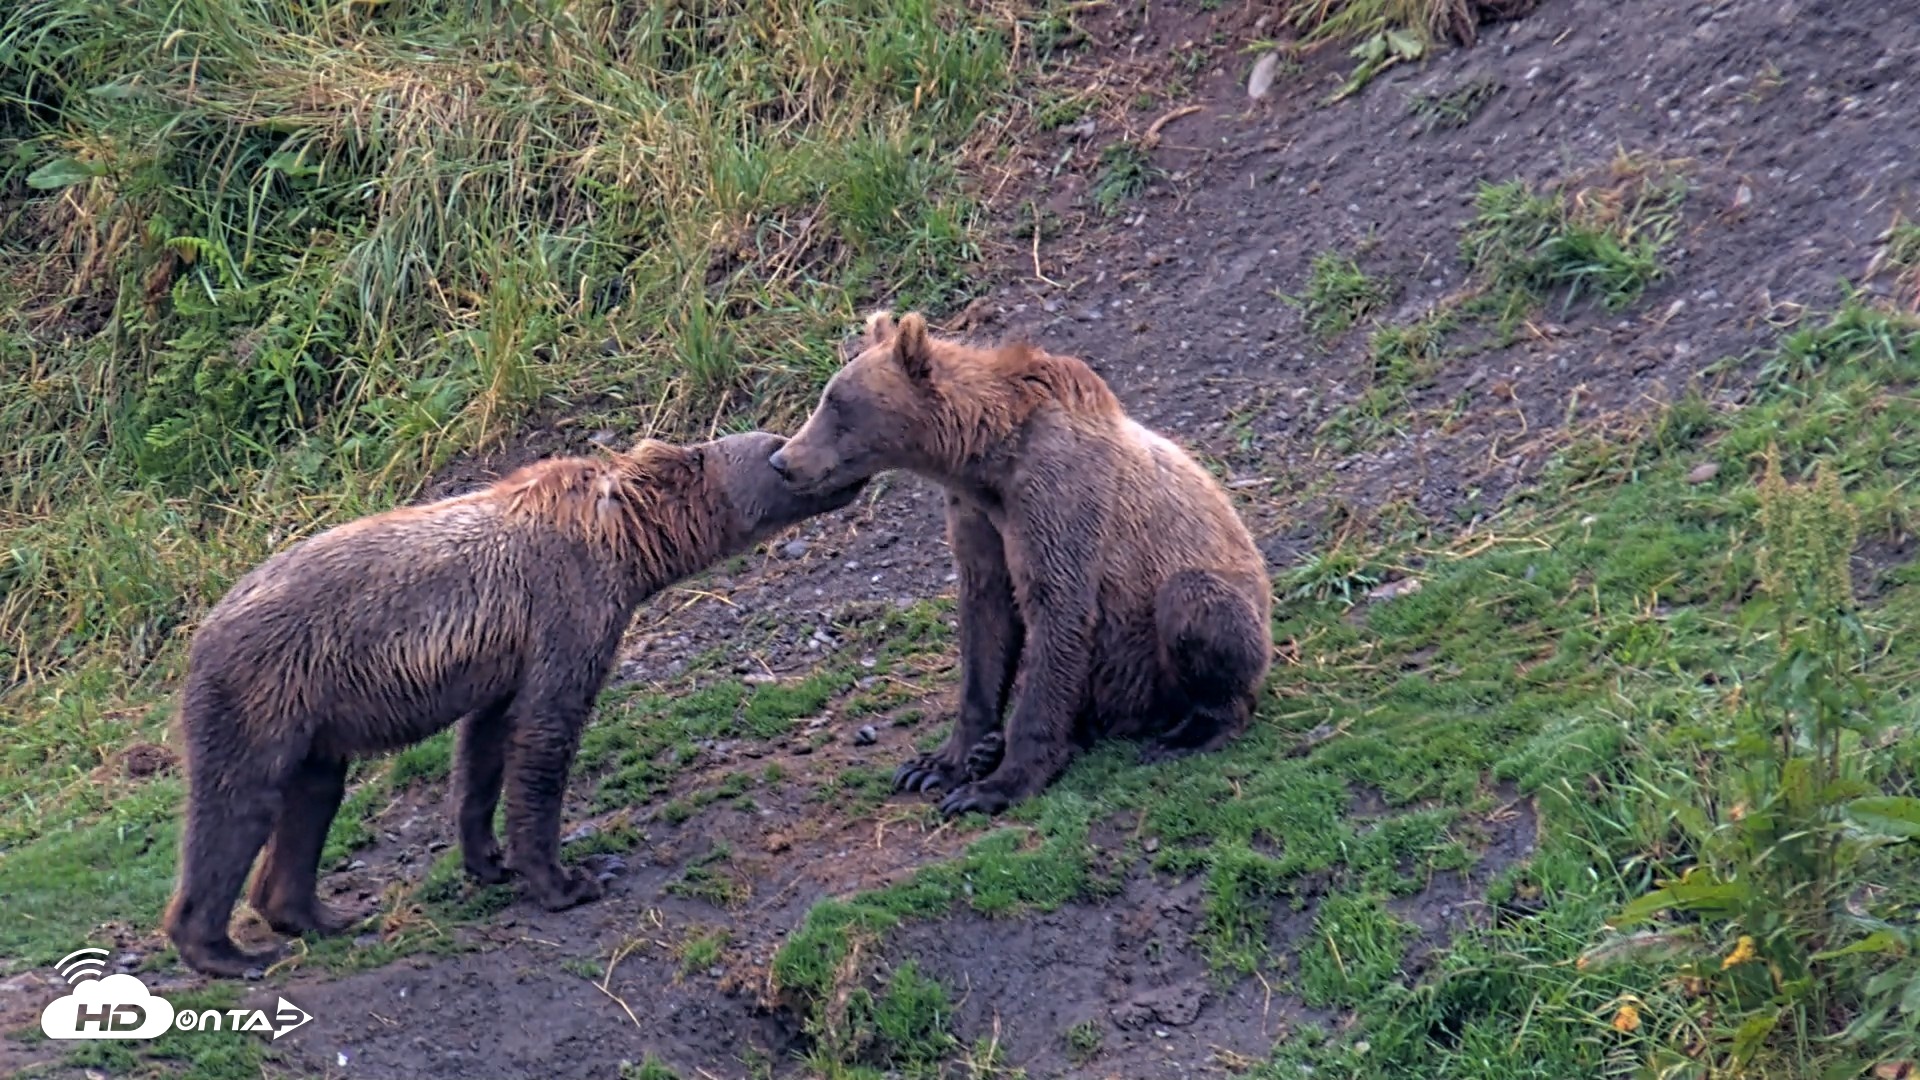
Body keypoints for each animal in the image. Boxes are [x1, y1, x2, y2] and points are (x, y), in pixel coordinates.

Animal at [163, 431, 866, 978]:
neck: (630, 537)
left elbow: (487, 746)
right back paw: (223, 951)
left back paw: (317, 914)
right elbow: (546, 732)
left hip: (314, 721)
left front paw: (488, 859)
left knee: (312, 798)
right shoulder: (567, 605)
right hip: (265, 688)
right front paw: (568, 879)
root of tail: (198, 633)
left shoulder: (508, 653)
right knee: (237, 804)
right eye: (782, 449)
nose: (846, 471)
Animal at [768, 311, 1273, 818]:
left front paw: (993, 787)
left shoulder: (1057, 494)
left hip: (1174, 642)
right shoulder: (976, 514)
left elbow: (1058, 611)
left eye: (837, 404)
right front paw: (935, 764)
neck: (986, 455)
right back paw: (991, 749)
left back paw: (1191, 732)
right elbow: (985, 621)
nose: (781, 461)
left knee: (1196, 605)